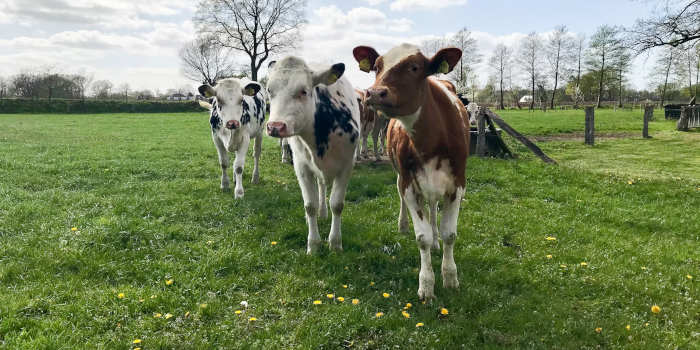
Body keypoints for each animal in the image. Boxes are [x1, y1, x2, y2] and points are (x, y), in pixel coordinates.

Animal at [356, 43, 470, 300]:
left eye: (415, 67)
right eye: (377, 66)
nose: (374, 93)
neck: (431, 139)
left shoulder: (458, 184)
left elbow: (450, 234)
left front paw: (450, 277)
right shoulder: (409, 183)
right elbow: (422, 237)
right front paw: (426, 284)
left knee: (433, 207)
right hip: (402, 176)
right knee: (405, 199)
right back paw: (404, 225)